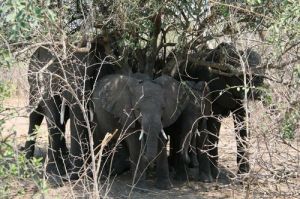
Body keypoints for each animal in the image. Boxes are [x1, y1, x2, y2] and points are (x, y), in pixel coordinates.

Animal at [22, 33, 118, 177]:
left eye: (93, 73)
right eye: (63, 75)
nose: (73, 176)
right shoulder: (48, 79)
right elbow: (54, 116)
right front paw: (54, 172)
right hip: (34, 82)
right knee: (35, 115)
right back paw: (28, 161)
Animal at [163, 42, 264, 180]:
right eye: (242, 76)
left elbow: (242, 119)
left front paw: (243, 176)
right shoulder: (212, 86)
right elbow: (213, 123)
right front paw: (215, 176)